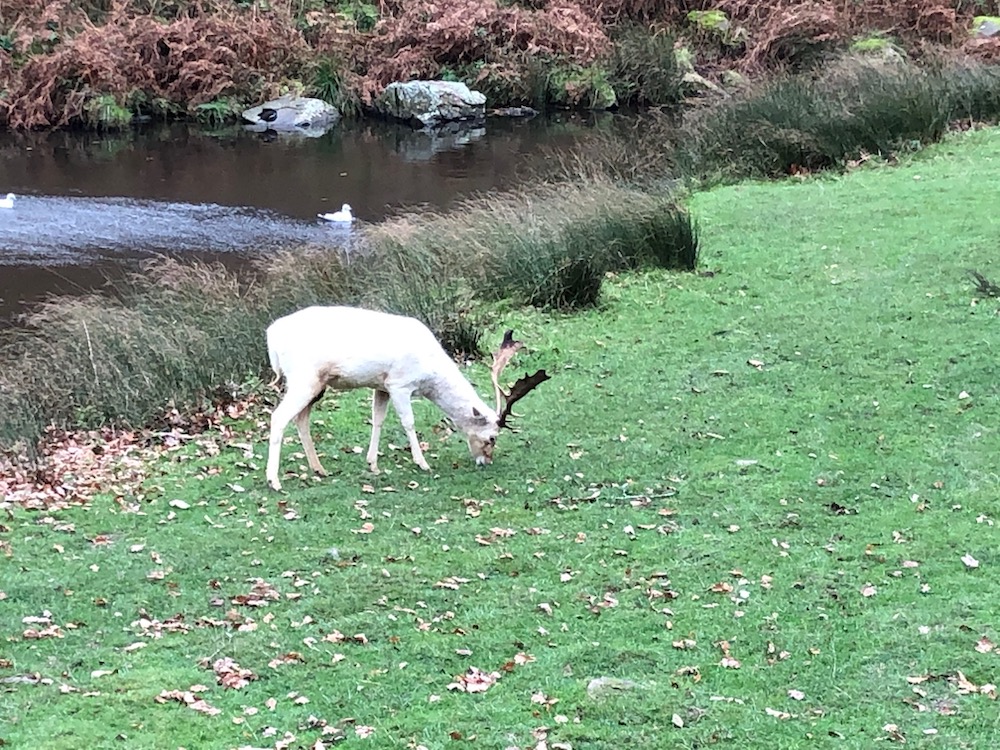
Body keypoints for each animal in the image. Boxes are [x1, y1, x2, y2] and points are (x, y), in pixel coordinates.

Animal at [262, 306, 552, 494]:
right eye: (491, 437)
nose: (486, 461)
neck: (429, 375)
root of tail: (271, 337)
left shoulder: (382, 385)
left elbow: (377, 420)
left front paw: (372, 464)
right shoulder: (400, 384)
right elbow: (408, 422)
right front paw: (422, 463)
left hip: (315, 384)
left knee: (301, 418)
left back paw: (319, 469)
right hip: (304, 377)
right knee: (279, 417)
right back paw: (274, 481)